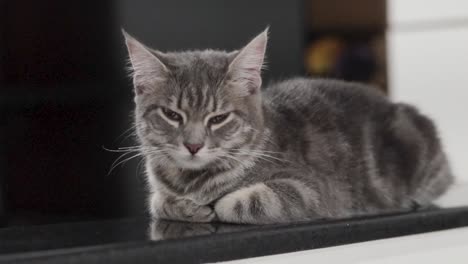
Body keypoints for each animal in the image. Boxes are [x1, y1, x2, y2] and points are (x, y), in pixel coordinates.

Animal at [121, 28, 454, 223]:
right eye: (172, 114)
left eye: (218, 118)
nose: (193, 145)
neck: (190, 180)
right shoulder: (161, 192)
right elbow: (159, 201)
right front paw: (184, 205)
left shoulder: (314, 191)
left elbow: (248, 200)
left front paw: (214, 205)